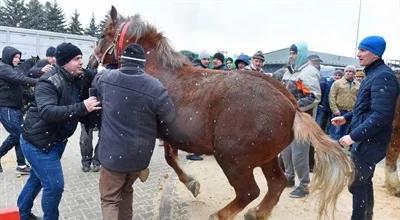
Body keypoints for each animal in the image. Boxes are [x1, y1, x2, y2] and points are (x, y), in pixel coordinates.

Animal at [93, 6, 354, 219]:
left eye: (103, 35)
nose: (93, 61)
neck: (156, 71)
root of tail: (292, 107)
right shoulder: (168, 135)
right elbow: (169, 158)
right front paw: (190, 183)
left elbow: (167, 158)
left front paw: (190, 183)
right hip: (267, 158)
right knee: (276, 184)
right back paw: (257, 213)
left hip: (232, 160)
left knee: (249, 191)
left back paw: (221, 215)